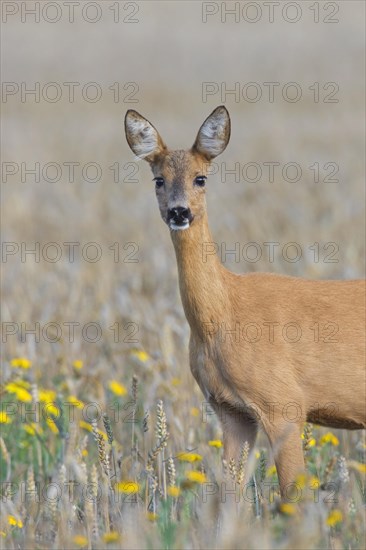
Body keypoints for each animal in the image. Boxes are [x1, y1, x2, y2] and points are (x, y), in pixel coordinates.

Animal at [124, 106, 364, 500]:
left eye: (201, 178)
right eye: (158, 180)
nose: (179, 212)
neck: (224, 316)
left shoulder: (284, 404)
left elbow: (294, 497)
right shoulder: (231, 411)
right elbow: (228, 496)